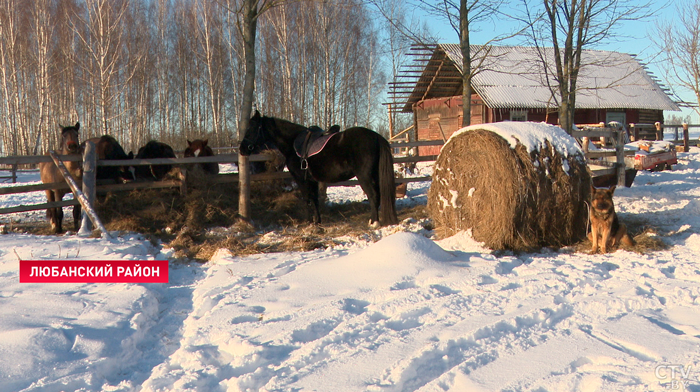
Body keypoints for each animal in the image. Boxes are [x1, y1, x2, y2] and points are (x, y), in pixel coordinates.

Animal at [239, 110, 396, 227]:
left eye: (251, 129)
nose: (242, 149)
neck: (292, 142)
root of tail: (376, 136)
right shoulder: (311, 180)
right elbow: (314, 199)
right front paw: (317, 222)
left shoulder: (301, 179)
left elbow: (307, 199)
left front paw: (309, 222)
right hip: (374, 175)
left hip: (364, 176)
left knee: (373, 195)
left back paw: (374, 222)